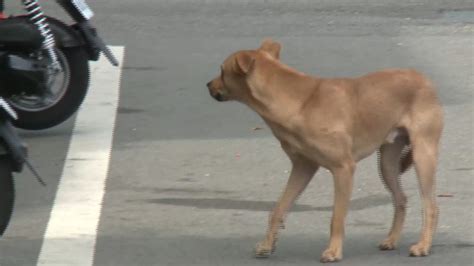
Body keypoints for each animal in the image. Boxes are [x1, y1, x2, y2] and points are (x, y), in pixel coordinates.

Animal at [206, 39, 444, 262]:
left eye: (222, 70)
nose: (208, 84)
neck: (299, 102)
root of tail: (424, 78)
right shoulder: (303, 167)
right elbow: (278, 209)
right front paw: (267, 245)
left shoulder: (343, 169)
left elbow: (336, 217)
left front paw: (334, 251)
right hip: (386, 164)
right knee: (401, 199)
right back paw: (392, 239)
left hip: (423, 156)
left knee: (430, 206)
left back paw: (423, 245)